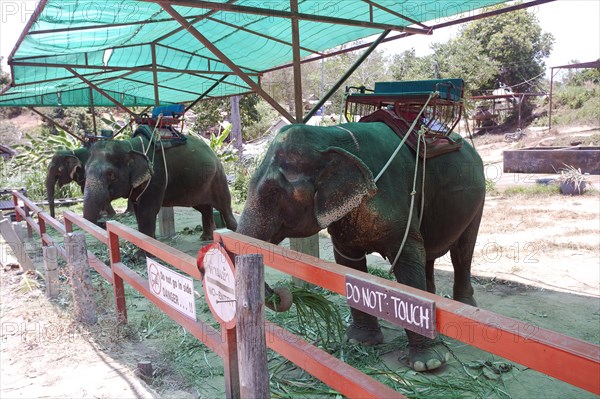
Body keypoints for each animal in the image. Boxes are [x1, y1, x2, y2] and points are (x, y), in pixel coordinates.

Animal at [82, 129, 237, 241]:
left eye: (111, 175)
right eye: (85, 170)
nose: (102, 222)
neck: (128, 146)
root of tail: (212, 151)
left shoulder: (156, 176)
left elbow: (147, 210)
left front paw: (143, 254)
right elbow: (138, 210)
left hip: (218, 178)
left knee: (224, 206)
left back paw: (235, 232)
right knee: (204, 208)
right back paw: (206, 238)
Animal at [237, 123, 486, 374]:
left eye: (273, 192)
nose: (281, 292)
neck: (329, 136)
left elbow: (408, 257)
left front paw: (428, 363)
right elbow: (350, 264)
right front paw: (360, 341)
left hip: (478, 200)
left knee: (463, 251)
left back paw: (464, 306)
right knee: (430, 255)